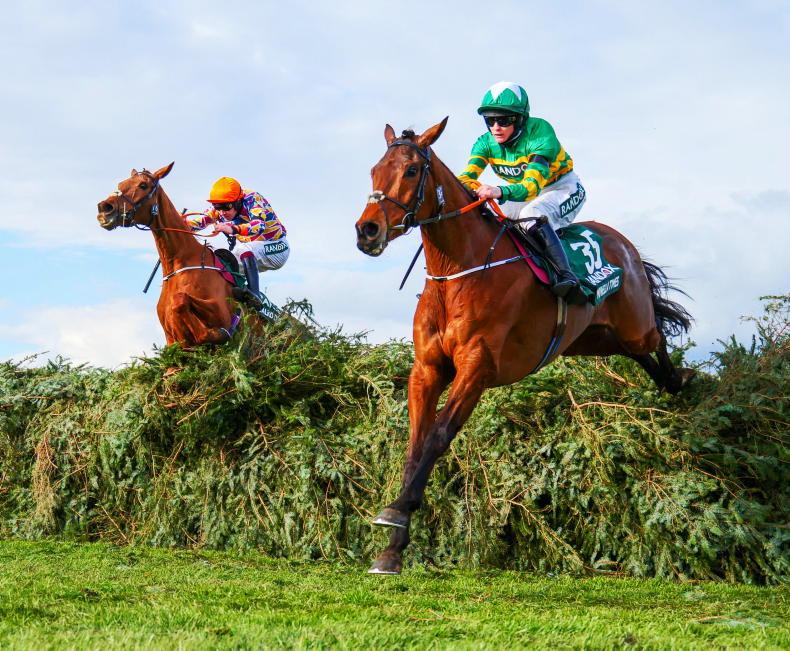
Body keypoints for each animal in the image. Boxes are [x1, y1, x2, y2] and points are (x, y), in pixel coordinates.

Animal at [97, 163, 240, 347]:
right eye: (120, 184)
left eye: (143, 185)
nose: (104, 208)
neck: (179, 263)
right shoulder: (174, 341)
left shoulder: (221, 312)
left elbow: (180, 301)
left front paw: (219, 333)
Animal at [354, 117, 694, 575]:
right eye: (374, 169)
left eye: (410, 171)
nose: (367, 230)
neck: (460, 270)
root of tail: (624, 245)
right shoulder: (427, 368)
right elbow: (416, 441)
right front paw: (392, 547)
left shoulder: (477, 369)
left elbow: (438, 437)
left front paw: (397, 512)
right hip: (591, 340)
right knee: (639, 354)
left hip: (634, 324)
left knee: (657, 336)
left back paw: (683, 381)